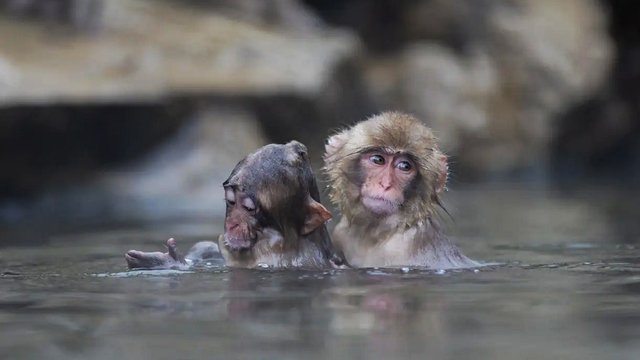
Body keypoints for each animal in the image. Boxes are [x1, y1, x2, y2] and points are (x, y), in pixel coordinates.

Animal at [322, 111, 478, 268]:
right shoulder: (340, 232)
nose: (385, 184)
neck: (373, 234)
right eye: (378, 159)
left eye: (404, 166)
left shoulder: (403, 246)